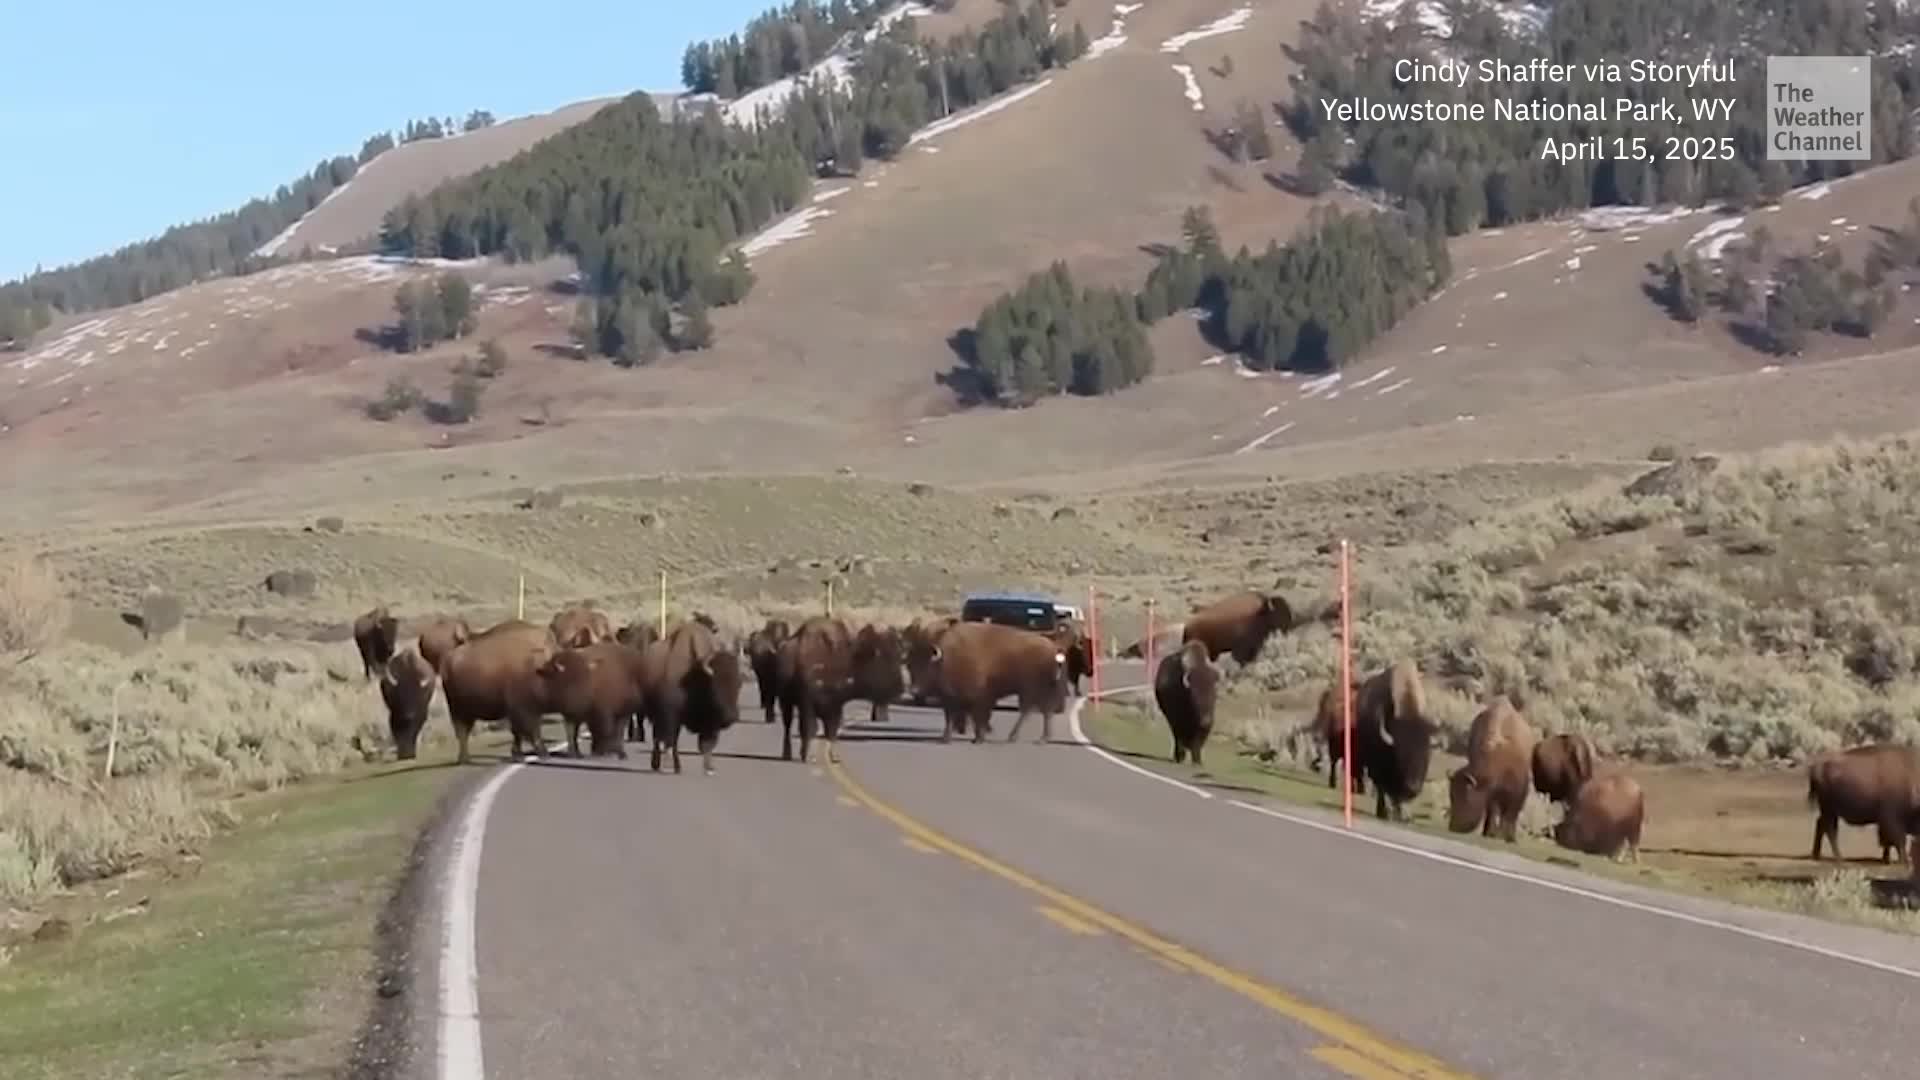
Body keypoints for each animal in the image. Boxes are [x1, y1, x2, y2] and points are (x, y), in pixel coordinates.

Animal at [1446, 696, 1537, 843]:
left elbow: (1511, 813)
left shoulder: (1518, 791)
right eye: (1451, 796)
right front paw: (1490, 832)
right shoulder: (1492, 792)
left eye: (1465, 797)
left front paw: (1509, 837)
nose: (1453, 826)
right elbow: (1493, 810)